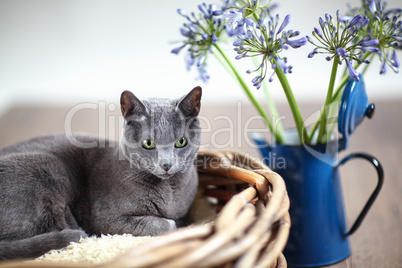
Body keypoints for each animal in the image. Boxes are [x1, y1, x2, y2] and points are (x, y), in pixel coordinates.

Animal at [0, 87, 201, 260]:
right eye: (148, 143)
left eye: (181, 142)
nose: (166, 164)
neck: (170, 192)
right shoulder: (104, 219)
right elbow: (163, 224)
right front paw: (175, 225)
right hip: (46, 163)